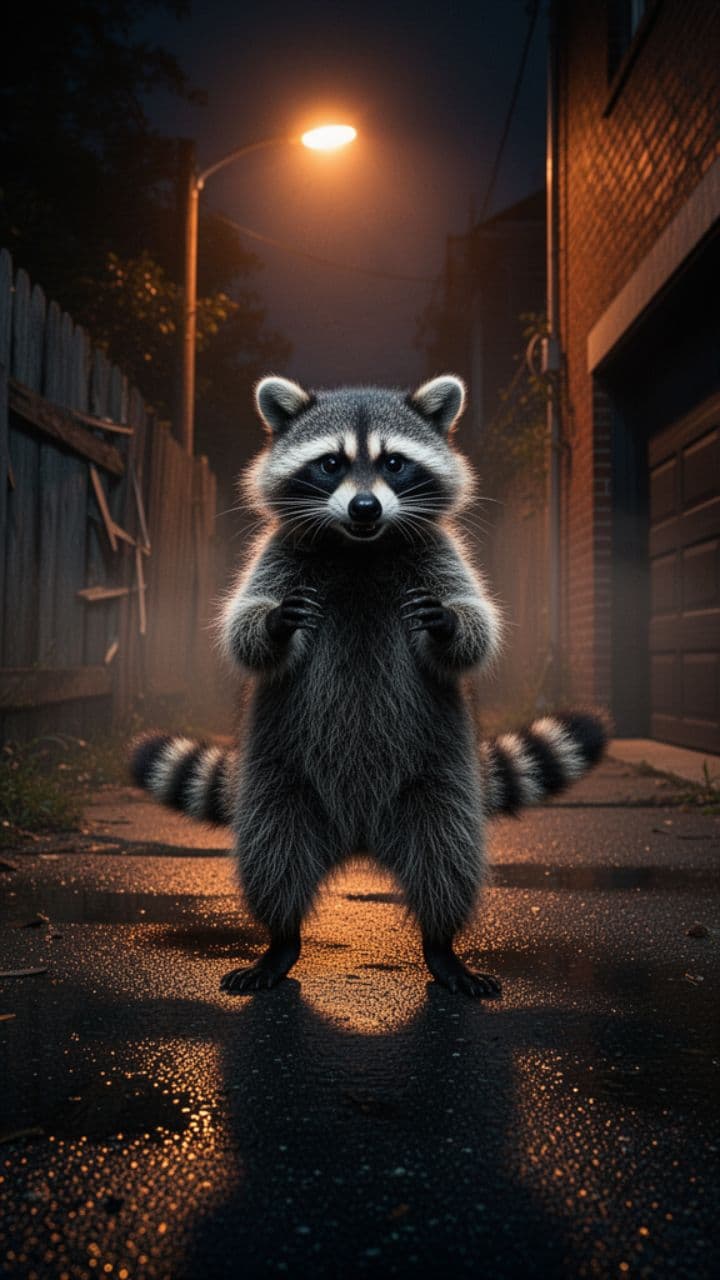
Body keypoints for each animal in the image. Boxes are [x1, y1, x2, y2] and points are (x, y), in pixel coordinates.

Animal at [131, 375, 607, 997]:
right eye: (331, 463)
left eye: (395, 463)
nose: (365, 506)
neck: (360, 544)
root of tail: (359, 835)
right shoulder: (278, 554)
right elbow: (244, 630)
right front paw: (274, 623)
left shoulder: (440, 554)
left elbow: (476, 627)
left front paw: (449, 624)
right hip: (278, 778)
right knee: (272, 854)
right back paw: (280, 940)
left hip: (440, 778)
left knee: (447, 855)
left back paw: (441, 944)